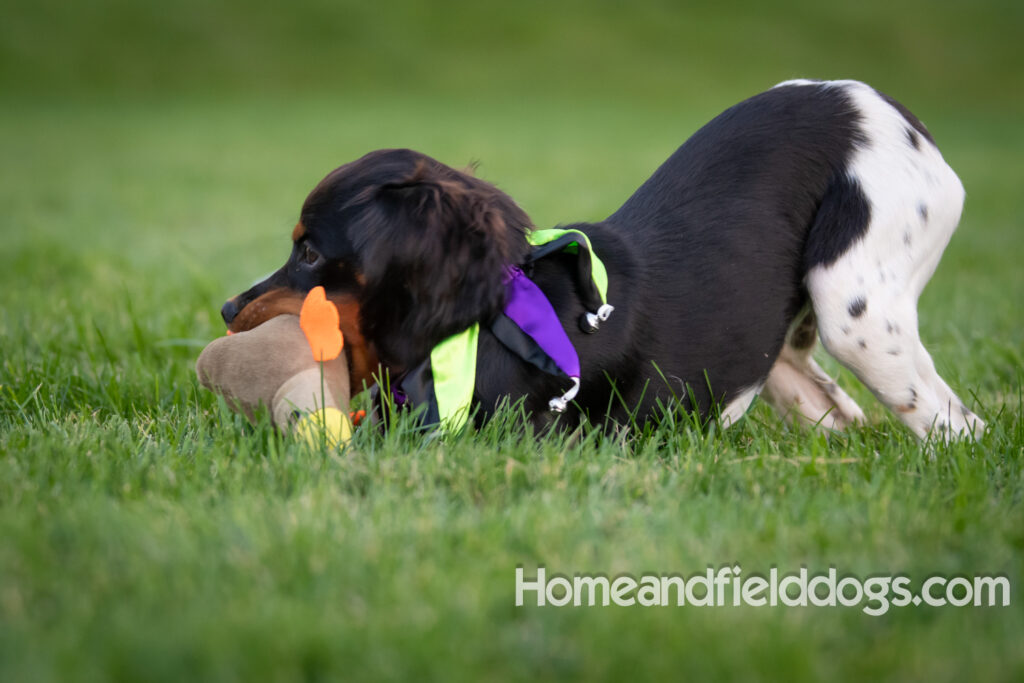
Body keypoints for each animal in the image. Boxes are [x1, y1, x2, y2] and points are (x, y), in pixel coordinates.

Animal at [222, 80, 983, 440]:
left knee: (957, 428)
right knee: (828, 403)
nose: (227, 308)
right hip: (787, 343)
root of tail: (889, 108)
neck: (491, 324)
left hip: (854, 308)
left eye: (310, 251)